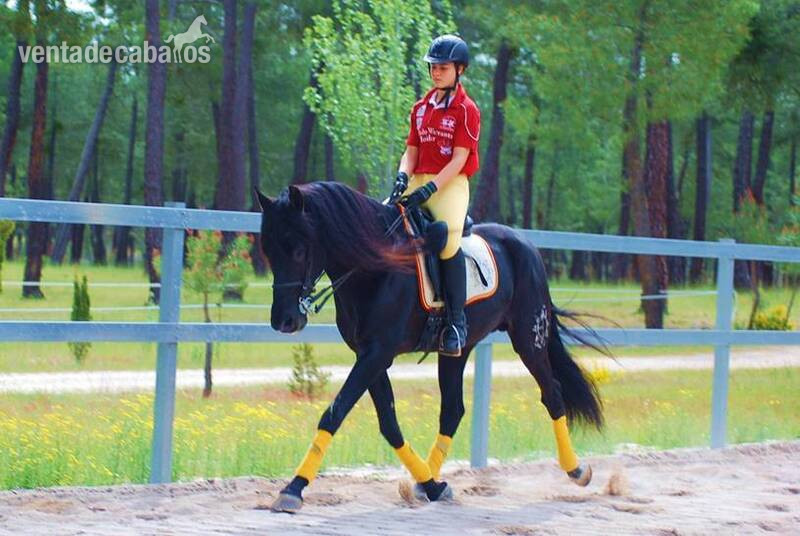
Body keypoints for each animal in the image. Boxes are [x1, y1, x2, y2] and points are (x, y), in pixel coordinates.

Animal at [256, 181, 605, 513]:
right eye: (268, 251)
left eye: (298, 250)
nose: (284, 320)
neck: (376, 265)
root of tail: (525, 245)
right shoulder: (370, 356)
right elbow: (389, 424)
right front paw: (432, 485)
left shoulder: (377, 354)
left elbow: (334, 413)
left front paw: (293, 490)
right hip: (458, 350)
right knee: (452, 410)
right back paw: (430, 483)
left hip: (529, 338)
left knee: (552, 394)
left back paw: (577, 470)